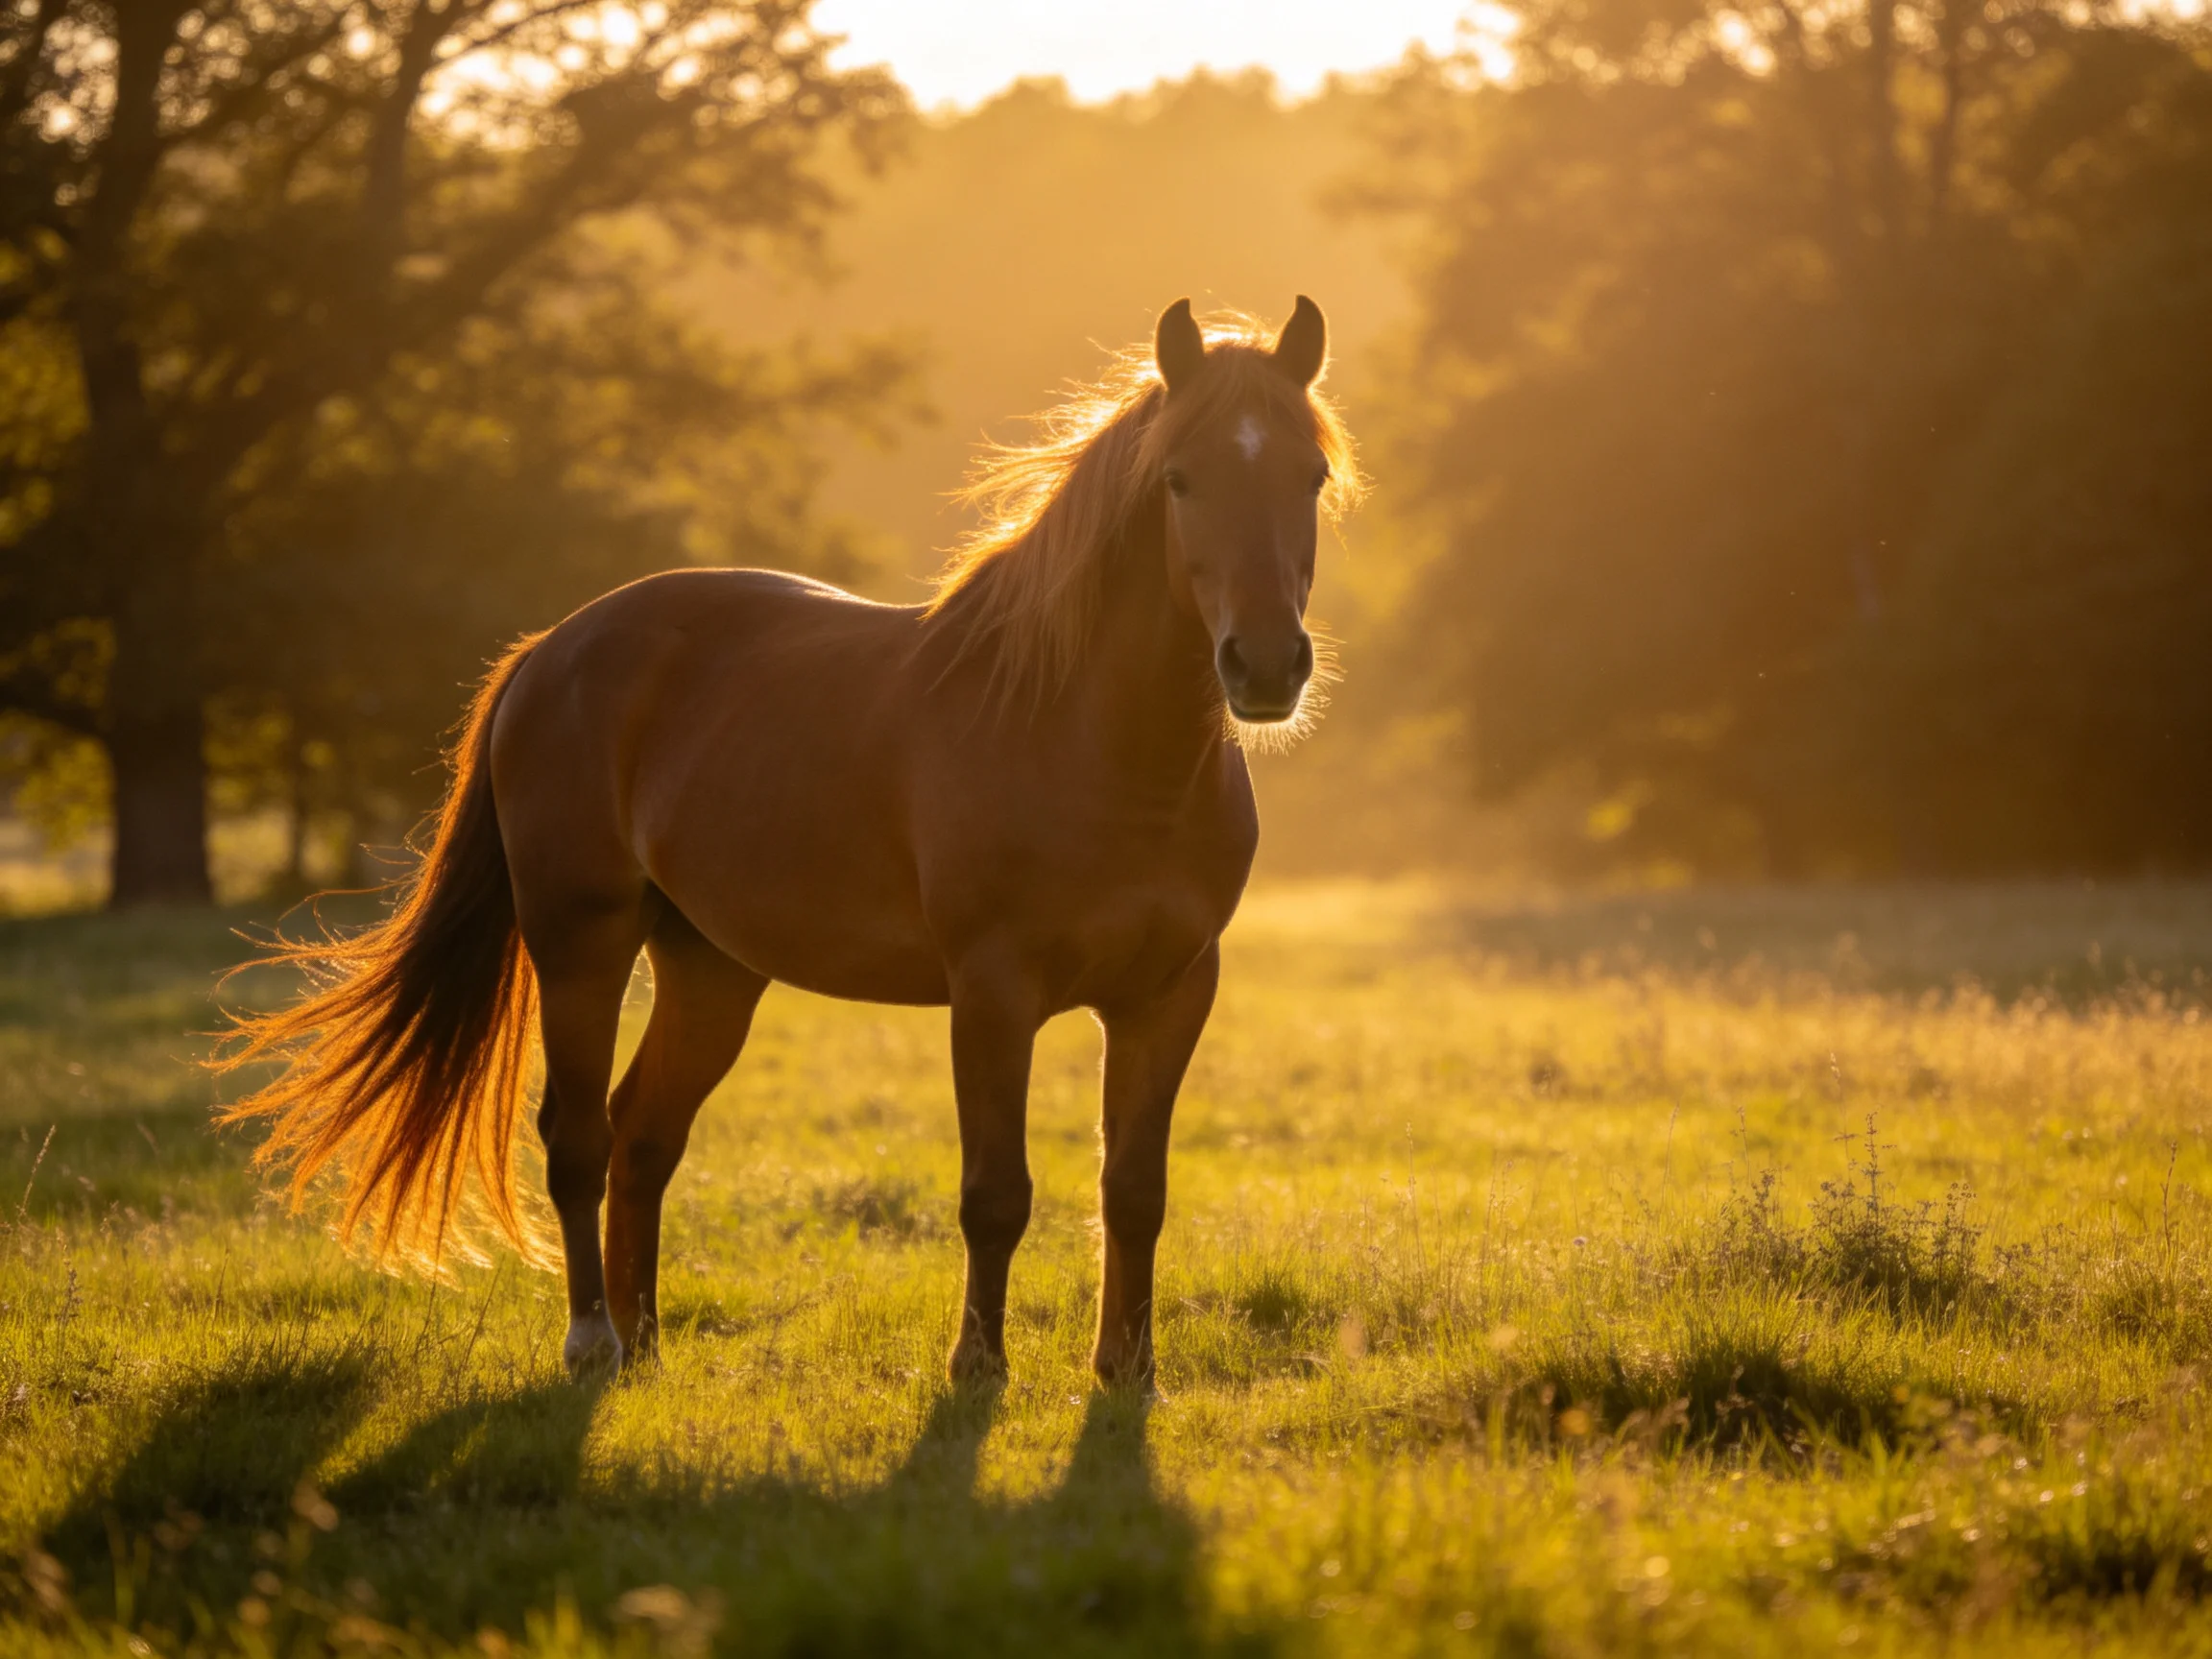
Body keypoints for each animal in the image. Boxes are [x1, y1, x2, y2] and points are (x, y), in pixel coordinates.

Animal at [216, 296, 1361, 1388]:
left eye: (1310, 476)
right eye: (1179, 479)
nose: (1265, 665)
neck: (1097, 747)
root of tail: (551, 648)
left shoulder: (1170, 994)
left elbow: (1134, 1191)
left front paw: (1127, 1371)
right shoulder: (994, 992)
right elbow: (996, 1194)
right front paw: (978, 1369)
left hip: (709, 969)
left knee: (644, 1136)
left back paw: (645, 1346)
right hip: (580, 944)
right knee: (579, 1137)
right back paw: (592, 1342)